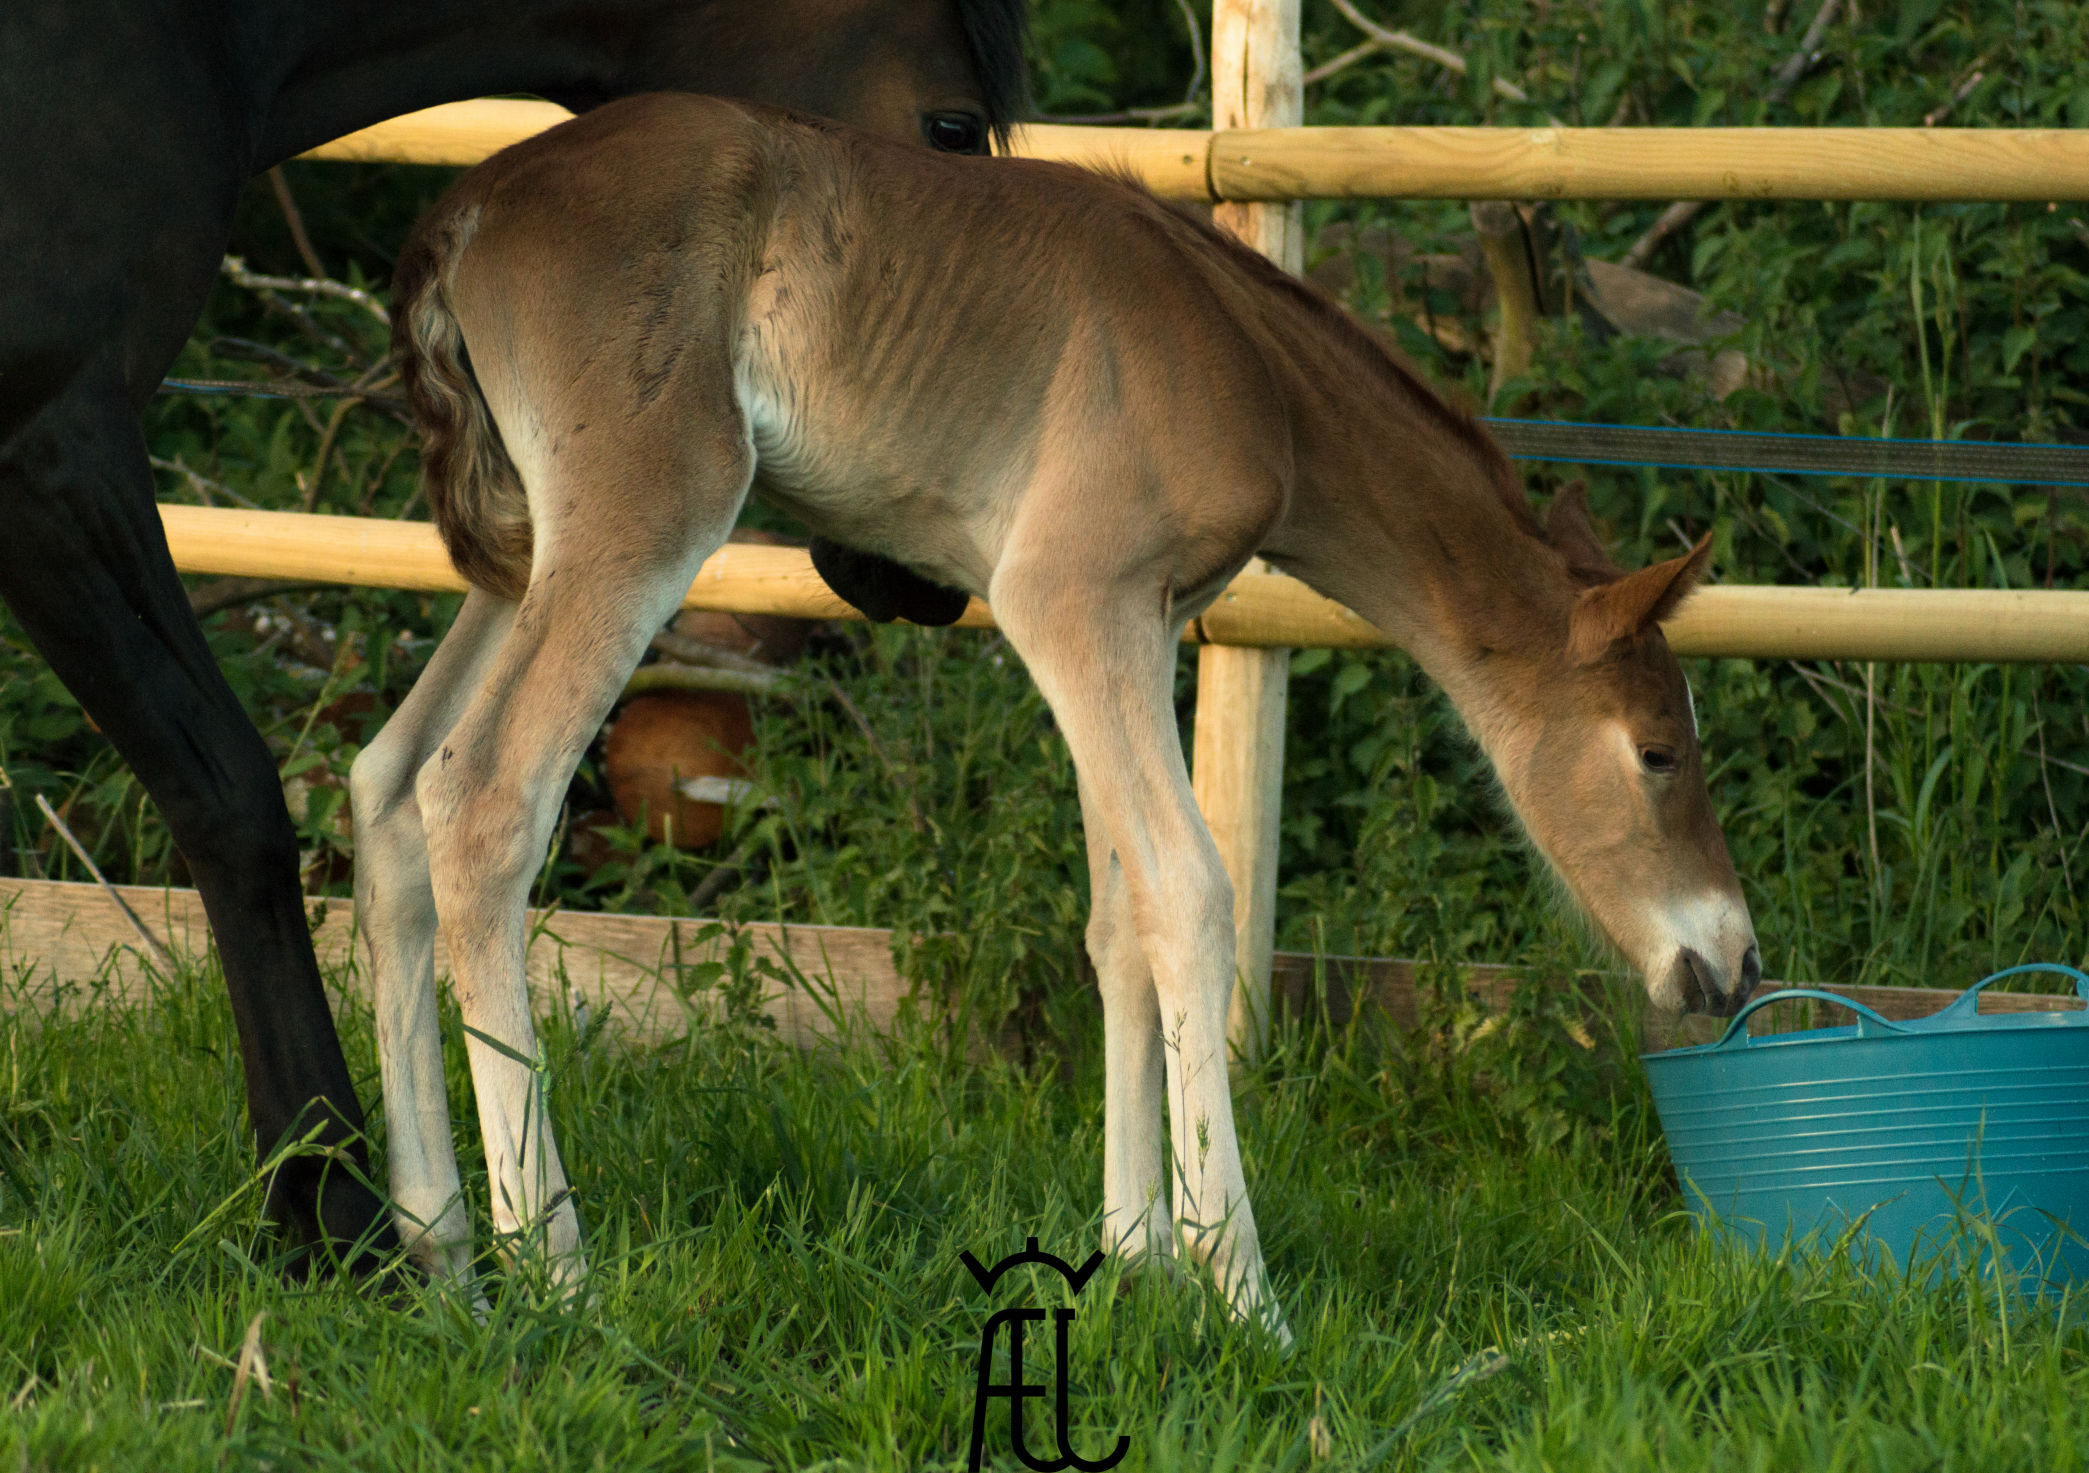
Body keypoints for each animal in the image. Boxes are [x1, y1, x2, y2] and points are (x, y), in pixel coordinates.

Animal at [363, 91, 1763, 1337]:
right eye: (1657, 752)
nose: (1735, 961)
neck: (1248, 364)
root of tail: (468, 209)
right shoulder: (1070, 599)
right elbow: (1189, 896)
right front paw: (1241, 1294)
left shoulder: (1131, 624)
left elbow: (1117, 918)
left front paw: (1138, 1255)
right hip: (646, 512)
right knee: (483, 795)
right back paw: (553, 1272)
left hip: (523, 556)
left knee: (386, 786)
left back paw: (439, 1249)